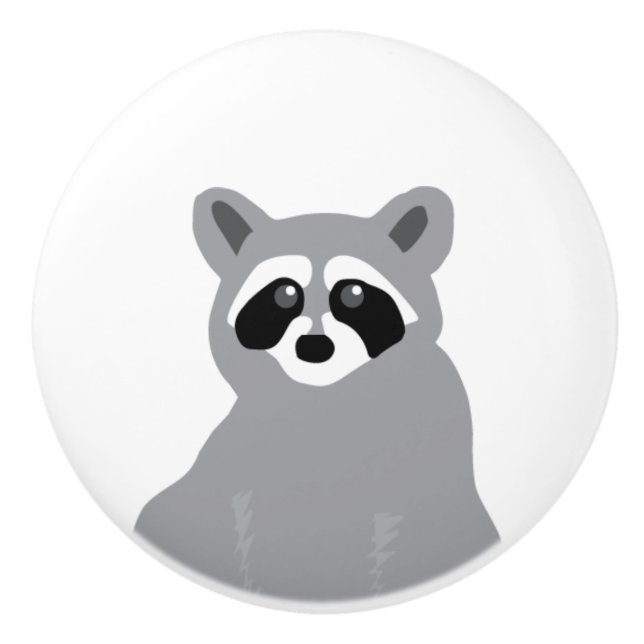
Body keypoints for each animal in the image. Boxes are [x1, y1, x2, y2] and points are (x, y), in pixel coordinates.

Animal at [135, 187, 499, 601]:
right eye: (284, 293)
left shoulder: (431, 419)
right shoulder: (248, 448)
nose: (314, 346)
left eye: (354, 294)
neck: (323, 395)